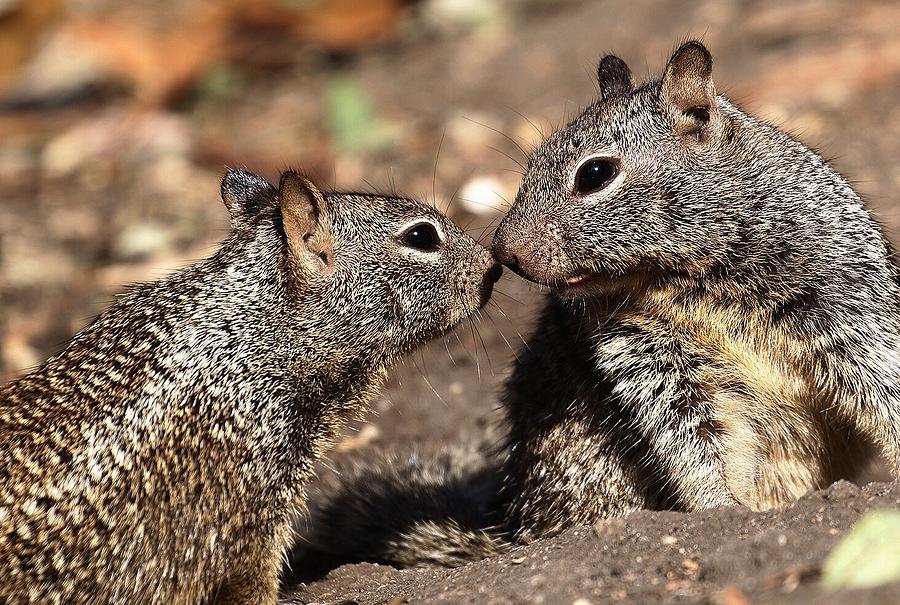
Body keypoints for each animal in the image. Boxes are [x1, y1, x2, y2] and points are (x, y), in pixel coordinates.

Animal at [294, 40, 900, 568]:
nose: (505, 252)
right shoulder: (644, 357)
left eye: (595, 173)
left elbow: (881, 381)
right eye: (532, 160)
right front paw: (725, 511)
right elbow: (689, 438)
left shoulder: (845, 298)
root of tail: (517, 530)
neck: (688, 279)